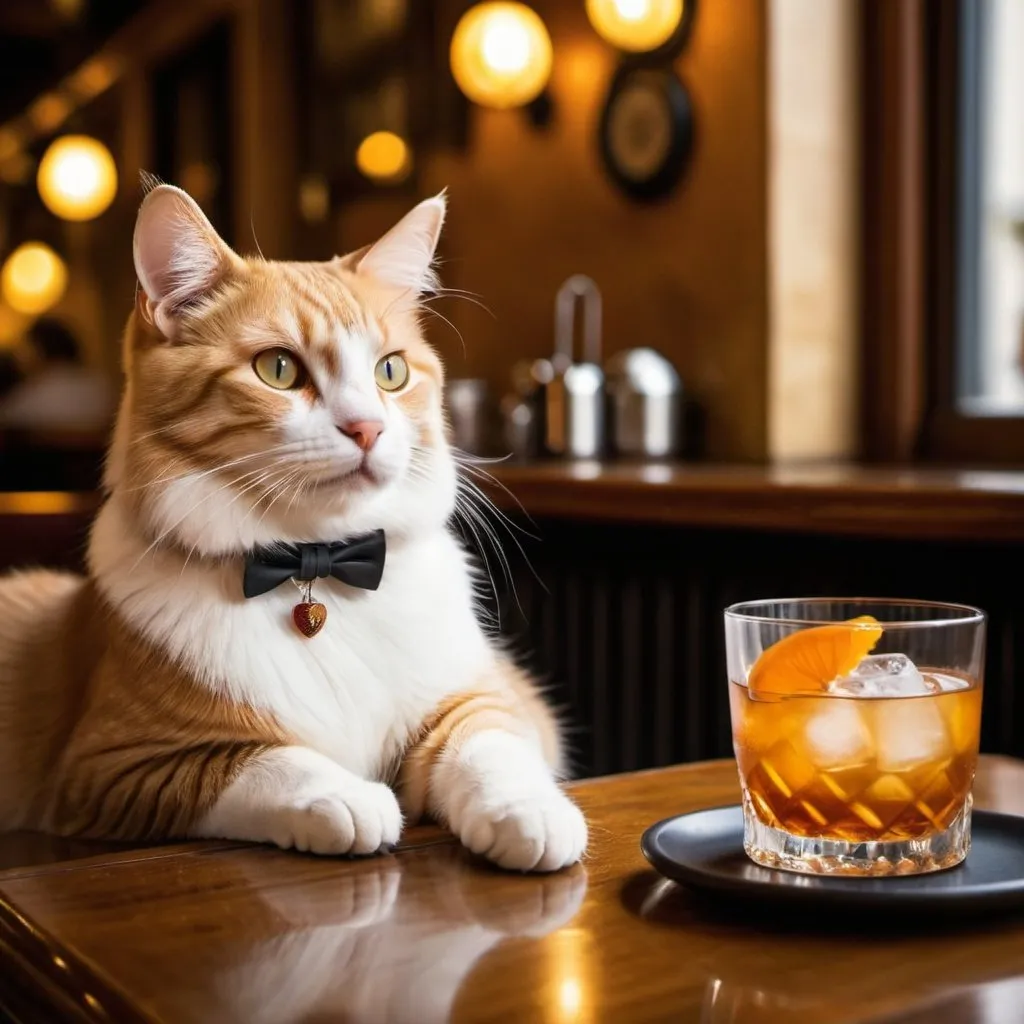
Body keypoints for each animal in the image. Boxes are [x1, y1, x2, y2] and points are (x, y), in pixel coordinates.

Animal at [0, 184, 589, 872]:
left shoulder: (497, 698)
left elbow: (491, 744)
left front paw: (529, 811)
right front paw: (345, 797)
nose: (368, 428)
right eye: (278, 369)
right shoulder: (111, 768)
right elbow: (261, 761)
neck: (318, 565)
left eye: (391, 372)